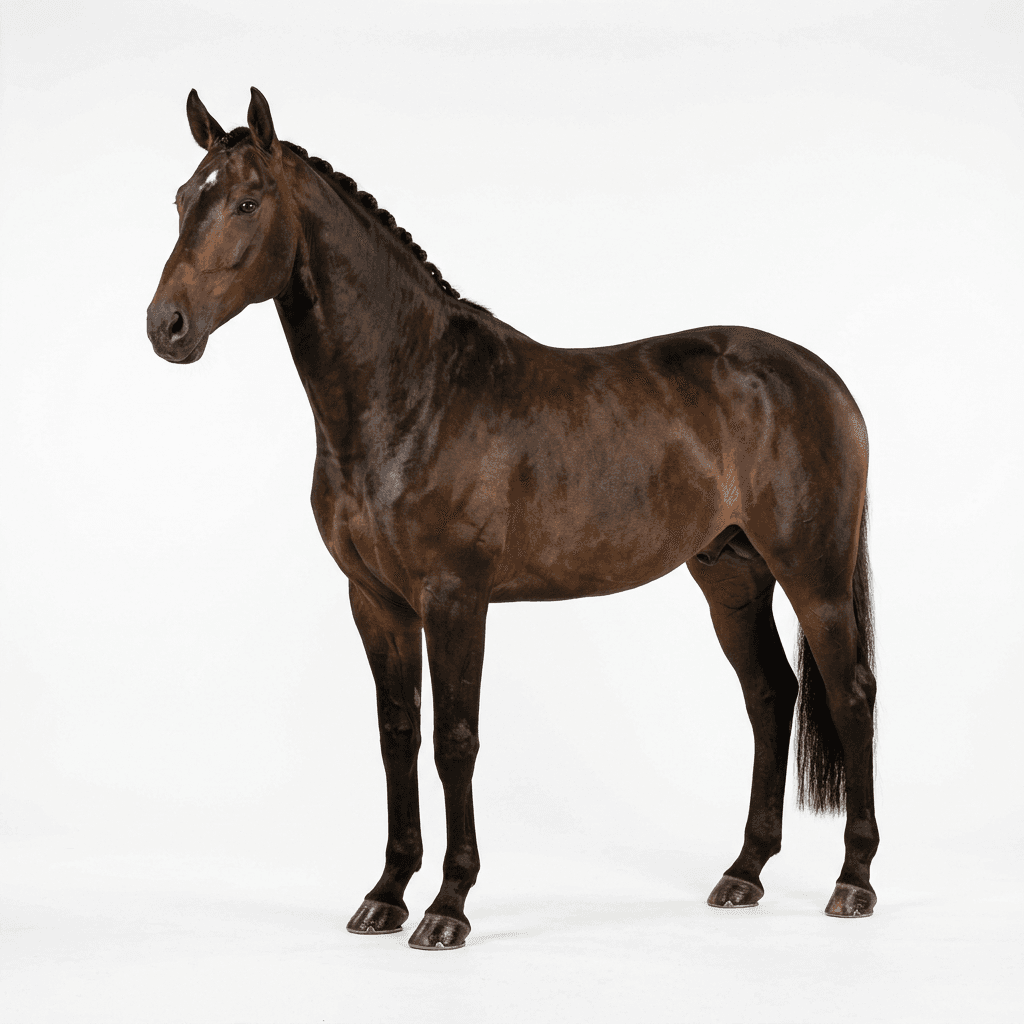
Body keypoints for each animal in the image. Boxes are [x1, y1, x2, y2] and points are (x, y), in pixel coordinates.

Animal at [147, 88, 879, 950]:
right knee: (770, 693)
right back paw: (743, 873)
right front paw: (386, 894)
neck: (414, 394)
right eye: (183, 198)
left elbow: (454, 741)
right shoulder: (376, 602)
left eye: (248, 201)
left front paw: (447, 906)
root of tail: (820, 377)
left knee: (851, 694)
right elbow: (399, 736)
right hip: (730, 572)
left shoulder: (456, 599)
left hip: (813, 573)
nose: (167, 326)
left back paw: (853, 881)